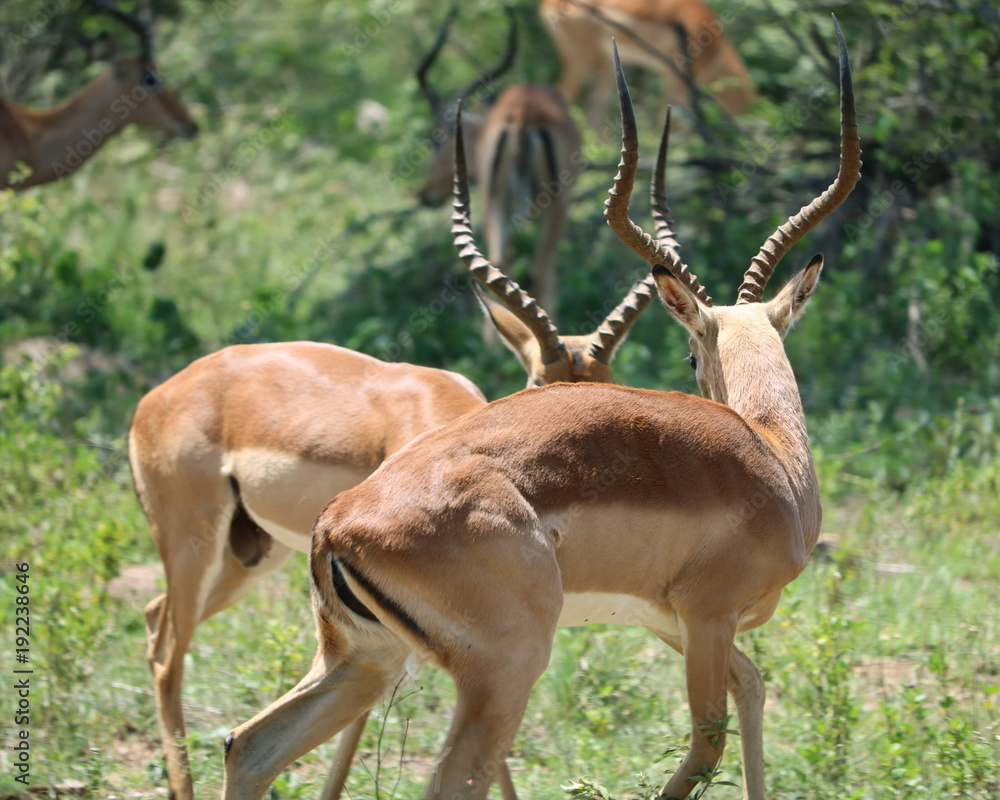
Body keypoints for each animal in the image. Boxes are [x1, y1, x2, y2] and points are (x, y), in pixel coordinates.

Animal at [130, 162, 657, 799]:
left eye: (608, 383)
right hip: (195, 547)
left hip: (249, 557)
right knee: (167, 655)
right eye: (539, 382)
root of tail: (160, 394)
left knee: (154, 616)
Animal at [416, 6, 583, 317]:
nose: (424, 193)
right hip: (552, 206)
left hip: (499, 202)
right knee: (539, 273)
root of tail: (521, 115)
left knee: (501, 264)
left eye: (437, 137)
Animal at [540, 0, 755, 126]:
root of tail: (548, 5)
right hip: (580, 61)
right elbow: (668, 121)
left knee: (595, 109)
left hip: (606, 65)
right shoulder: (676, 77)